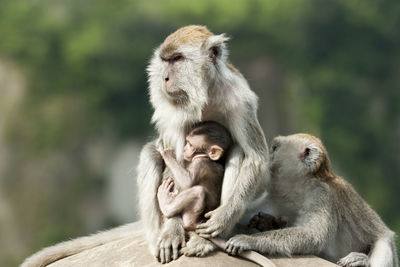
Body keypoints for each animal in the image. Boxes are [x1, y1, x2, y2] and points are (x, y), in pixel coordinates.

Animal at [139, 25, 270, 264]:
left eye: (177, 59)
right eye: (166, 60)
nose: (164, 77)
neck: (204, 91)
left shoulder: (241, 100)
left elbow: (255, 158)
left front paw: (223, 218)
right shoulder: (172, 112)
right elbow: (174, 162)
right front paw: (171, 231)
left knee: (238, 152)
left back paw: (206, 240)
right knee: (149, 154)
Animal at [225, 135, 396, 267]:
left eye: (274, 148)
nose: (268, 155)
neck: (298, 189)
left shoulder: (321, 195)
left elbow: (313, 236)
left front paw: (248, 240)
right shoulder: (277, 198)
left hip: (384, 243)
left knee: (384, 245)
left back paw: (361, 261)